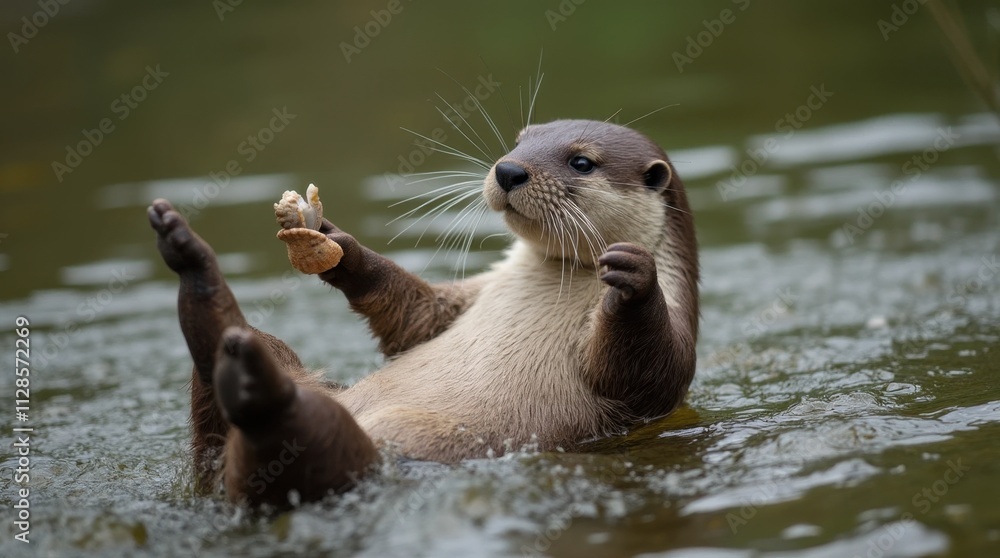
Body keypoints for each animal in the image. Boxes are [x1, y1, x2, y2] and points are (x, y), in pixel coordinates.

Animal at [147, 119, 698, 507]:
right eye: (521, 140)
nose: (508, 169)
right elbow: (411, 316)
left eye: (582, 161)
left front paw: (634, 278)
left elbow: (649, 371)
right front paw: (336, 245)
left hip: (338, 450)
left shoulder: (665, 356)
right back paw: (191, 263)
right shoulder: (463, 300)